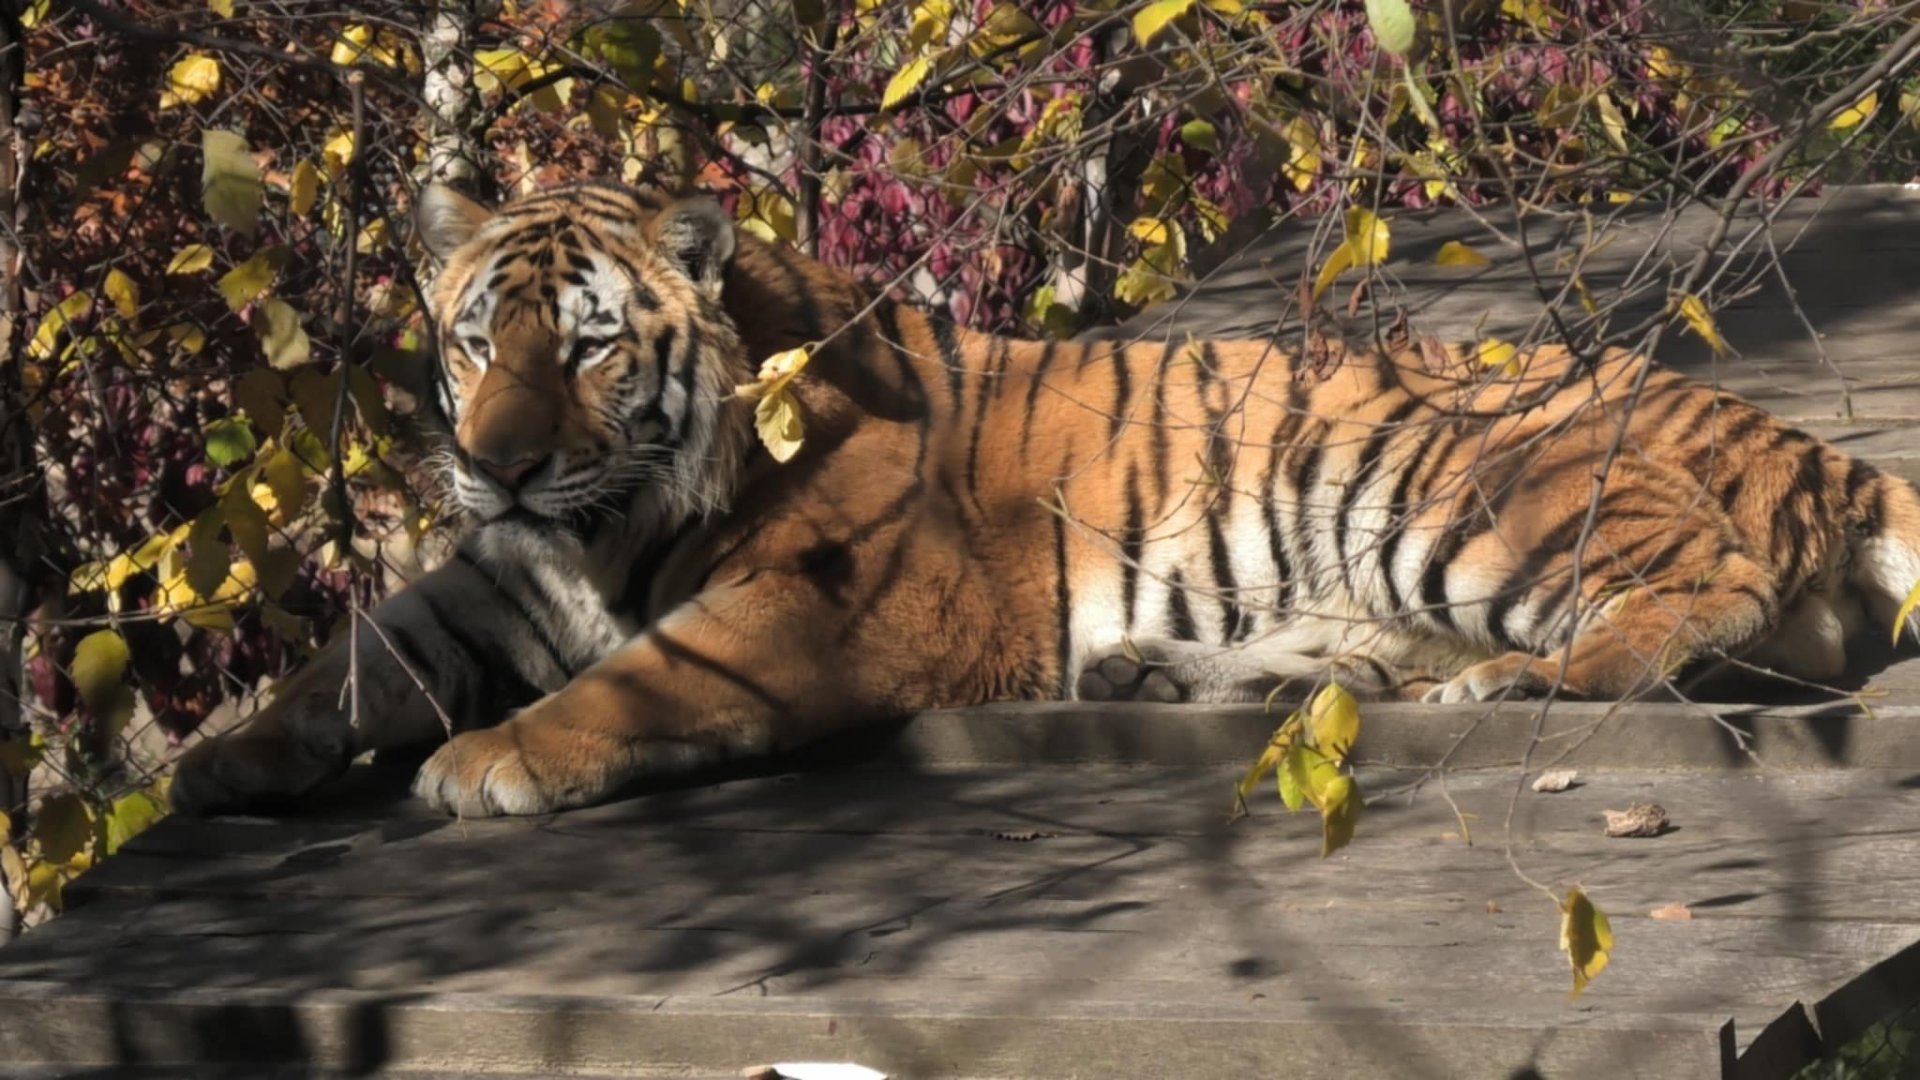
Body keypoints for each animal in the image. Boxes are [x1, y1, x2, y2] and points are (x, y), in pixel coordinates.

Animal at [168, 178, 1920, 819]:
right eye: (477, 338)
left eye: (591, 346)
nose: (501, 460)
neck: (607, 525)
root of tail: (1806, 445)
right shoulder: (506, 572)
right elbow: (367, 645)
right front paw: (222, 756)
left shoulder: (836, 605)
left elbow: (644, 682)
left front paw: (489, 763)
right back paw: (1168, 672)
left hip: (1473, 482)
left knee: (1707, 595)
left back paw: (1515, 684)